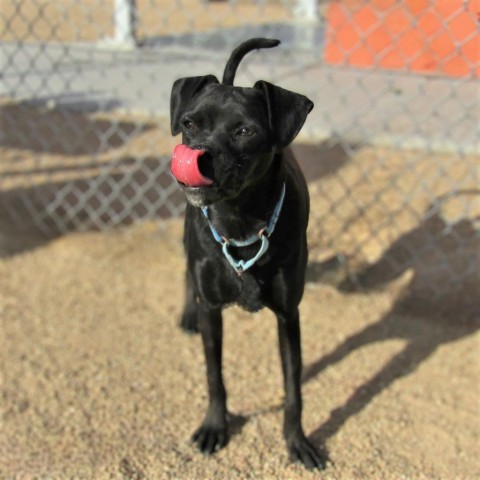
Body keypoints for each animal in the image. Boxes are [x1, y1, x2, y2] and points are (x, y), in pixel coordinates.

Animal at [171, 39, 324, 470]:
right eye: (189, 123)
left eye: (245, 130)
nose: (198, 155)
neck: (240, 221)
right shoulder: (213, 312)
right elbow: (215, 378)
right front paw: (214, 426)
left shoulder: (289, 316)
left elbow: (294, 388)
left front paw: (297, 441)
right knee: (186, 273)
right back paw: (186, 312)